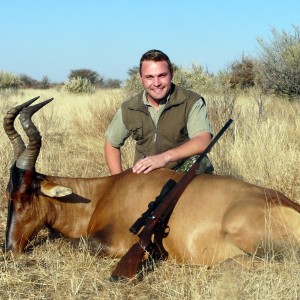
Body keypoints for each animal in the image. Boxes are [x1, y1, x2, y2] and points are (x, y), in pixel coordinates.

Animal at [2, 97, 300, 268]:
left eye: (28, 193)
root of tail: (288, 203)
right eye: (8, 194)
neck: (104, 192)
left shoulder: (115, 245)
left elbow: (67, 243)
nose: (9, 250)